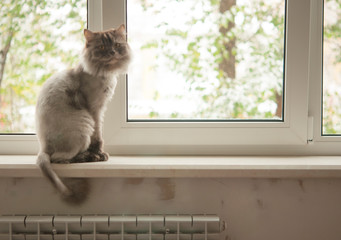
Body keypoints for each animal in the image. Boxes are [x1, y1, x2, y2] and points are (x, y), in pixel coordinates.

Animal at [34, 24, 130, 204]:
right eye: (102, 47)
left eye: (117, 45)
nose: (112, 53)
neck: (105, 74)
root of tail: (42, 147)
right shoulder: (95, 110)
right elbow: (98, 137)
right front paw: (99, 153)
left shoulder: (100, 109)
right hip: (84, 125)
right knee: (59, 158)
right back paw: (91, 157)